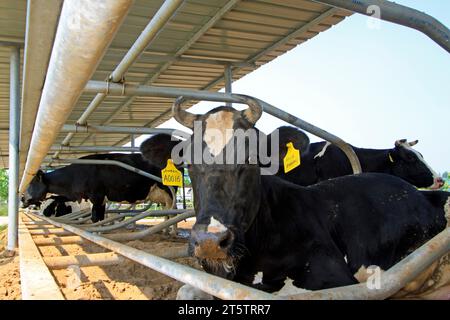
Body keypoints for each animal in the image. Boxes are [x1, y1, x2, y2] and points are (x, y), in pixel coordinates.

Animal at [22, 152, 175, 222]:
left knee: (172, 211)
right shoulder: (101, 200)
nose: (22, 198)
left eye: (32, 183)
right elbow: (100, 217)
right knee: (166, 211)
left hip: (169, 192)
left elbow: (95, 217)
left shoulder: (96, 196)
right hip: (161, 197)